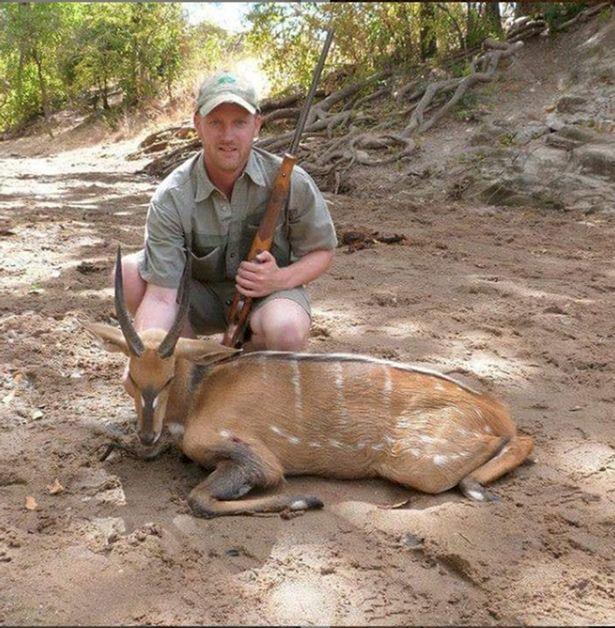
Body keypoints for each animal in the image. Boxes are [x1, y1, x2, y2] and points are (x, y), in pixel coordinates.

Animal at [86, 248, 536, 516]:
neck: (198, 396)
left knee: (512, 446)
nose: (147, 434)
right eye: (130, 378)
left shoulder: (253, 455)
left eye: (168, 378)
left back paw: (477, 487)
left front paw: (305, 499)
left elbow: (202, 499)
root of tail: (496, 411)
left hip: (416, 463)